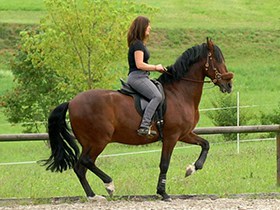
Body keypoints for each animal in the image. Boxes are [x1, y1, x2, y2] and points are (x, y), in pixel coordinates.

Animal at [42, 38, 234, 202]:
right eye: (217, 59)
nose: (229, 85)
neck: (179, 93)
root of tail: (72, 101)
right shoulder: (171, 137)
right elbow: (164, 164)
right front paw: (163, 193)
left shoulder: (184, 134)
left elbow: (205, 144)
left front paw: (191, 169)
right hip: (99, 140)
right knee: (85, 162)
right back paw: (109, 185)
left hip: (90, 142)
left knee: (80, 167)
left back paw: (93, 196)